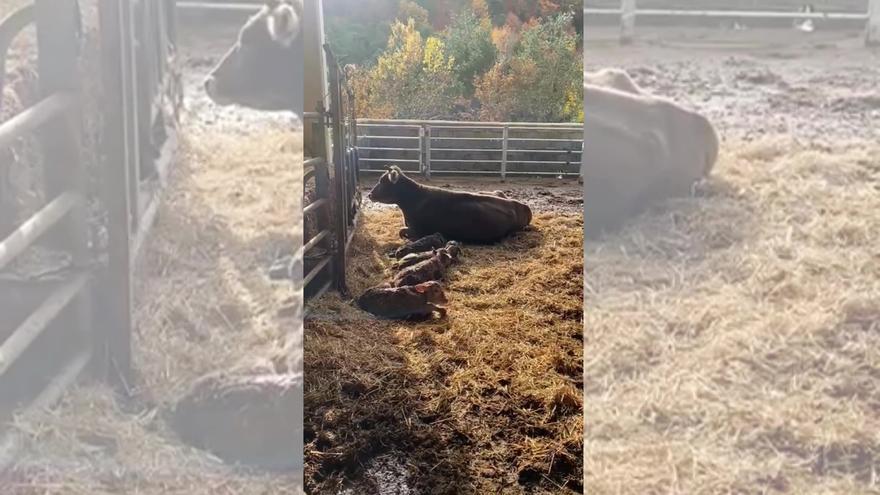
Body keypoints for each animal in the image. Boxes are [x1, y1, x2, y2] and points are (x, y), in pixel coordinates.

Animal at [364, 168, 528, 243]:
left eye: (383, 181)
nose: (370, 194)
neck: (414, 200)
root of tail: (517, 203)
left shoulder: (419, 231)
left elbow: (401, 231)